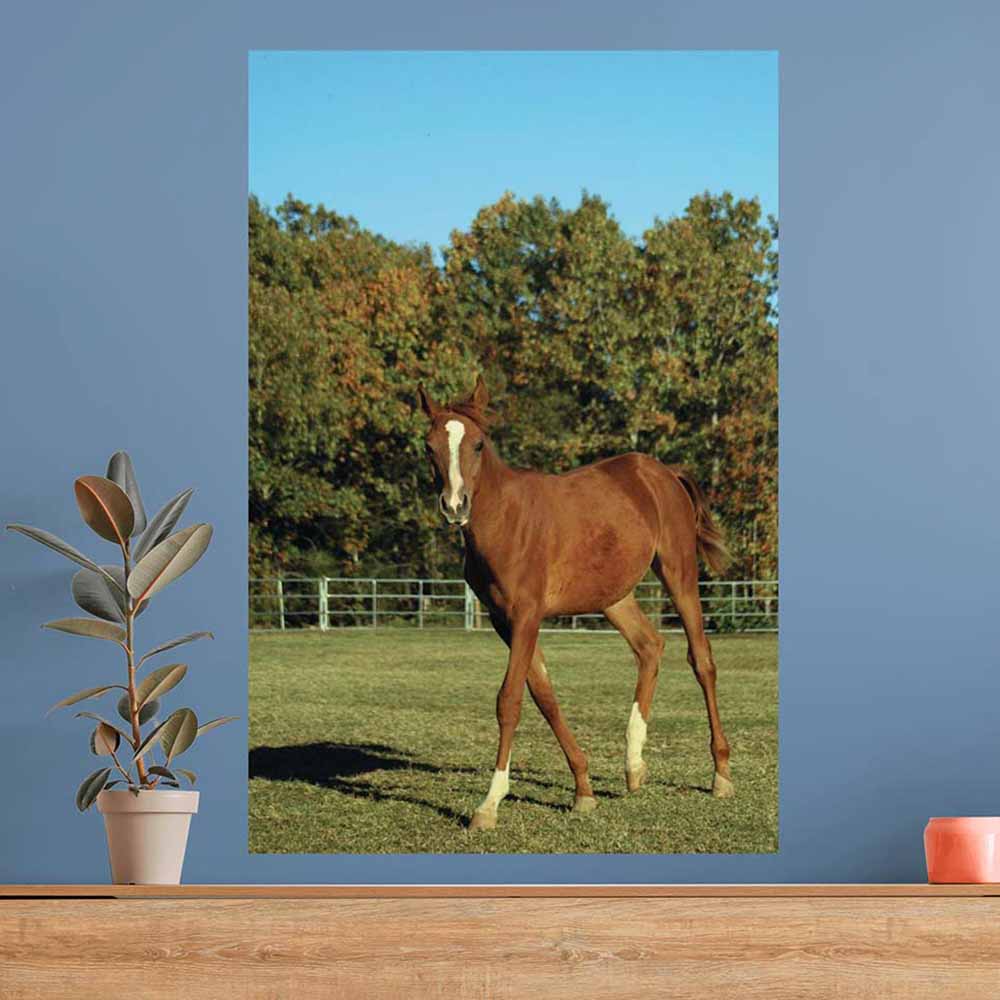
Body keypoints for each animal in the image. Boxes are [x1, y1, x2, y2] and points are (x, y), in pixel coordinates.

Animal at [418, 375, 733, 831]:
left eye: (477, 444)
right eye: (429, 446)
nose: (455, 505)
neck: (505, 520)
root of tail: (663, 474)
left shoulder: (526, 616)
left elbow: (509, 701)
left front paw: (489, 804)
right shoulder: (502, 621)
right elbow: (544, 696)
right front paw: (584, 789)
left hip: (680, 575)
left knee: (702, 661)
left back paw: (721, 775)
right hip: (614, 597)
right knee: (650, 647)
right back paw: (634, 766)